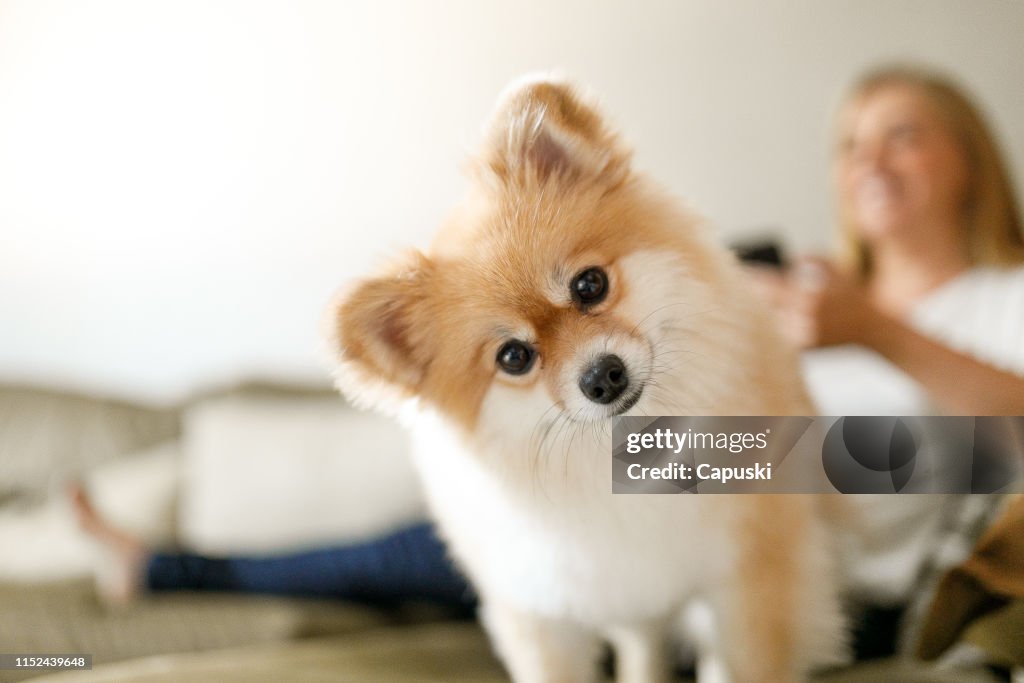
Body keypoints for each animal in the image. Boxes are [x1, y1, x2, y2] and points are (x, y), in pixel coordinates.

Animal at [331, 78, 843, 683]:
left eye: (590, 284)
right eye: (514, 357)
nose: (601, 376)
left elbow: (744, 664)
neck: (629, 455)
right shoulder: (546, 611)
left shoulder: (750, 573)